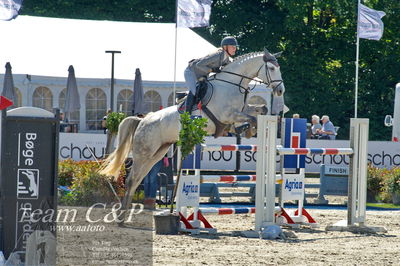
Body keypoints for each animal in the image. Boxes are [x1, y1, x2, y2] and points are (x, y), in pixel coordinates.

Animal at [101, 48, 286, 222]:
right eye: (271, 68)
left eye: (279, 68)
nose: (280, 90)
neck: (232, 84)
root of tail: (142, 120)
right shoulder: (228, 115)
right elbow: (251, 118)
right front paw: (249, 129)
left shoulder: (241, 110)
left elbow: (260, 109)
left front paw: (248, 129)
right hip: (144, 153)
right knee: (132, 180)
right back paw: (121, 217)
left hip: (157, 154)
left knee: (138, 179)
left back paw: (124, 216)